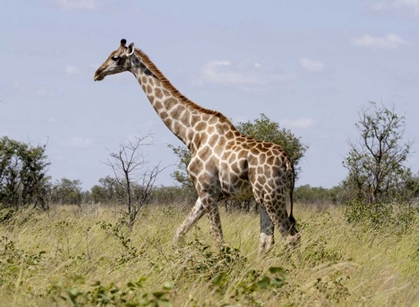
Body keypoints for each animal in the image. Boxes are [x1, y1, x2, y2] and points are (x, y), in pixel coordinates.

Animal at [93, 38, 300, 255]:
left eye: (115, 57)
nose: (97, 73)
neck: (192, 135)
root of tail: (287, 162)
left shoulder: (208, 191)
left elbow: (218, 241)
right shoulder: (203, 194)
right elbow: (178, 235)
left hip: (272, 195)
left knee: (291, 237)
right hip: (262, 197)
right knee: (267, 240)